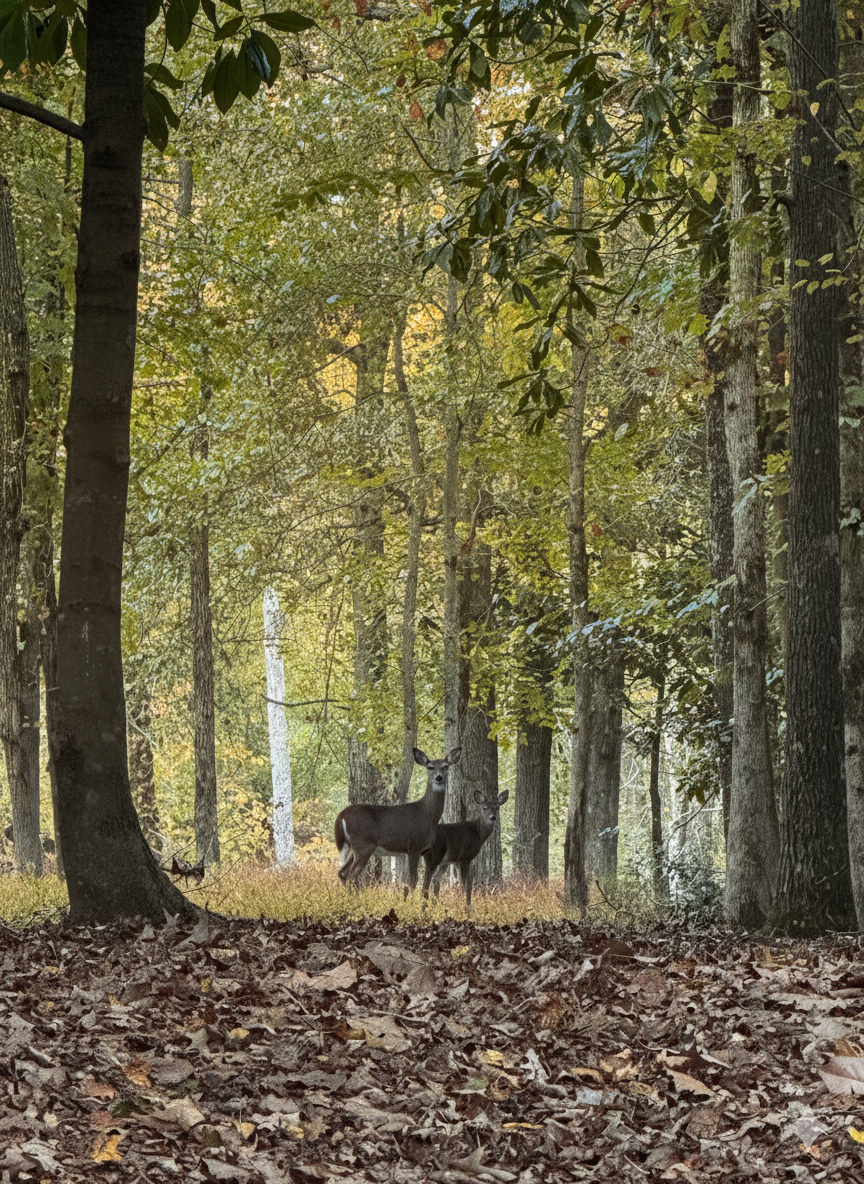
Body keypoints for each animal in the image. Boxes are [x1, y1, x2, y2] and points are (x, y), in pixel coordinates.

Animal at [334, 746, 461, 893]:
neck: (428, 814)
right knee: (351, 876)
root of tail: (341, 816)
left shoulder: (423, 850)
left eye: (445, 766)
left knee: (342, 873)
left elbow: (423, 881)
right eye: (430, 767)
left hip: (352, 847)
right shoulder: (414, 845)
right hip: (363, 845)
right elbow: (413, 880)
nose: (439, 777)